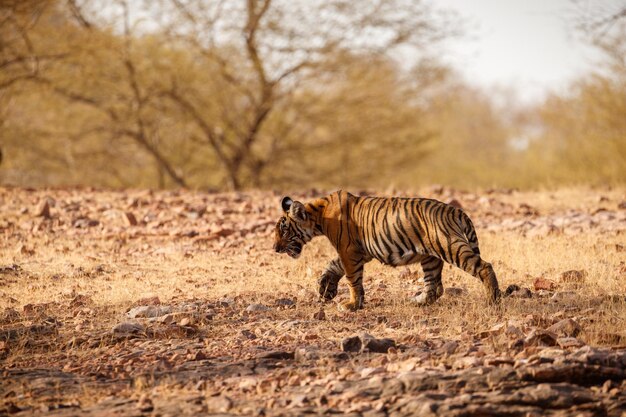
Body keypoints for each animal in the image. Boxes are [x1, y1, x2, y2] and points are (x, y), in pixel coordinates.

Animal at [276, 190, 500, 310]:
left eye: (284, 230)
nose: (275, 248)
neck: (319, 216)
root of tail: (456, 210)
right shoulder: (359, 252)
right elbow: (333, 266)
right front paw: (325, 289)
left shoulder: (349, 251)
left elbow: (352, 279)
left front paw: (352, 304)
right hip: (430, 257)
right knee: (435, 287)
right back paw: (416, 300)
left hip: (449, 246)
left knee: (484, 267)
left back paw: (492, 301)